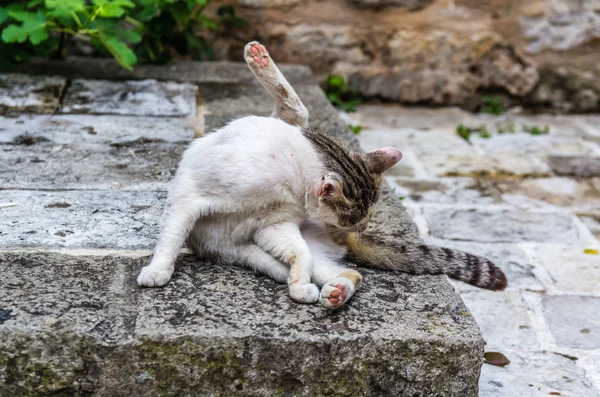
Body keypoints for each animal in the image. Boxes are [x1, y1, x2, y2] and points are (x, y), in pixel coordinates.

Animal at [137, 41, 506, 308]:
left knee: (345, 270)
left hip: (296, 244)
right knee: (296, 112)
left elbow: (297, 252)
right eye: (353, 220)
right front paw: (158, 270)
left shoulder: (276, 225)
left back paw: (333, 291)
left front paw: (300, 285)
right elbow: (172, 237)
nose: (354, 230)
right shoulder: (191, 194)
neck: (288, 184)